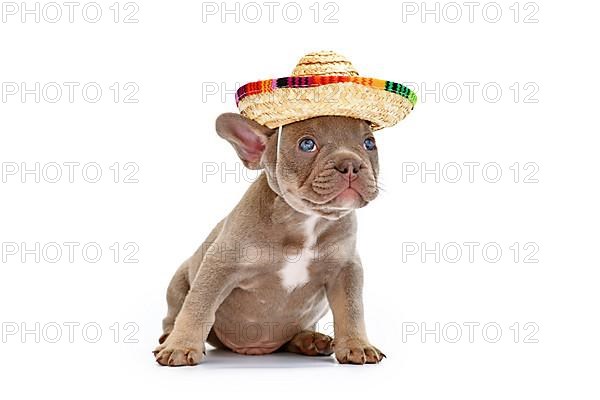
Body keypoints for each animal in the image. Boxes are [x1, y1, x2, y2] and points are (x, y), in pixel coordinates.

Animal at [152, 112, 386, 366]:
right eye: (307, 145)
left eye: (369, 144)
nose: (351, 164)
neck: (305, 220)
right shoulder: (220, 265)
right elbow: (198, 306)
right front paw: (180, 346)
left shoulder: (346, 269)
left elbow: (351, 310)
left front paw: (357, 344)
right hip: (177, 282)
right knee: (174, 312)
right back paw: (168, 337)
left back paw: (311, 340)